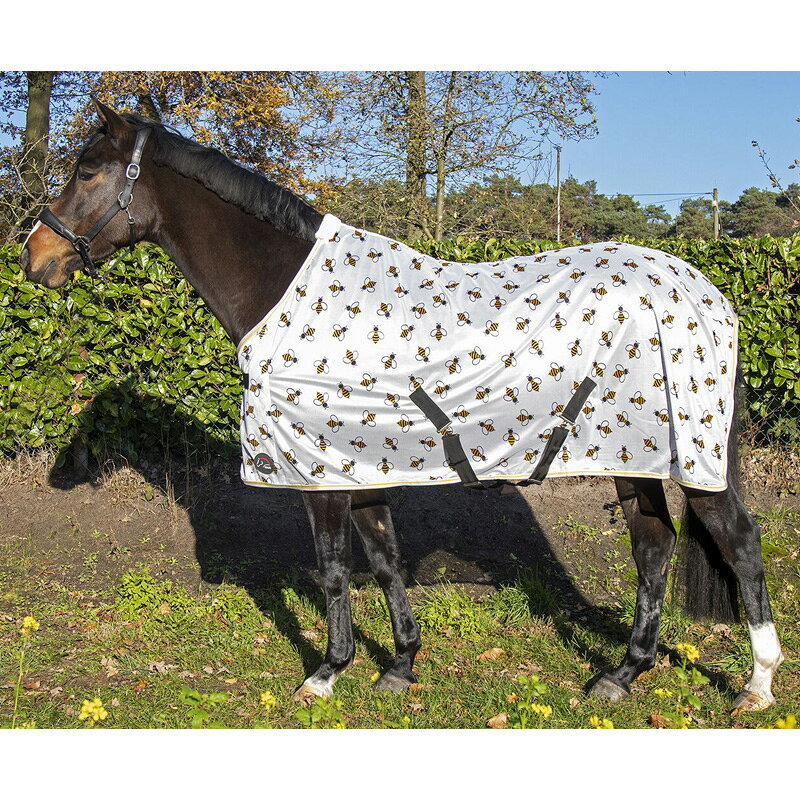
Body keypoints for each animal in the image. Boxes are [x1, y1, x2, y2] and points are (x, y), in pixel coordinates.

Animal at [20, 100, 783, 713]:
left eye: (88, 170)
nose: (34, 256)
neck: (285, 289)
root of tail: (707, 292)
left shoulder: (318, 473)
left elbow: (332, 569)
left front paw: (326, 674)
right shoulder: (359, 467)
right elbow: (384, 559)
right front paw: (401, 666)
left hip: (691, 460)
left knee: (741, 545)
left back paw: (757, 686)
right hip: (637, 457)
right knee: (654, 548)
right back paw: (621, 676)